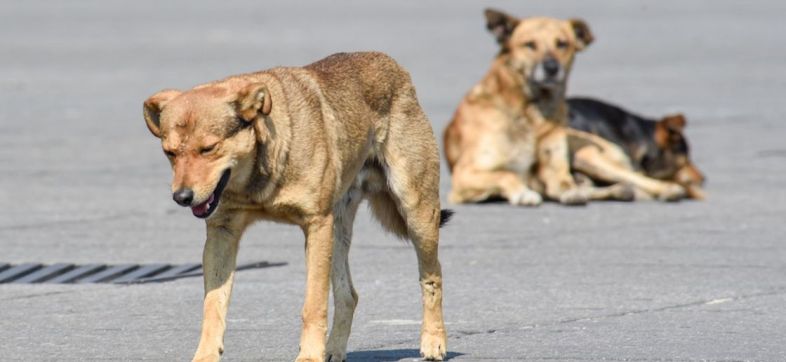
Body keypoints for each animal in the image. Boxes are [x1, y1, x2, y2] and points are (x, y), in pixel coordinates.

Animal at [141, 51, 448, 362]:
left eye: (208, 148)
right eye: (170, 153)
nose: (181, 197)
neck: (258, 176)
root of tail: (392, 64)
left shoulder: (316, 224)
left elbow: (313, 305)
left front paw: (309, 355)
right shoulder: (222, 234)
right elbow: (213, 306)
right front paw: (205, 355)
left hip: (416, 213)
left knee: (432, 277)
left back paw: (434, 341)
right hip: (337, 232)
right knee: (348, 295)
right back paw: (334, 350)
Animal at [440, 9, 600, 206]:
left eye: (562, 44)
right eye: (530, 44)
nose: (551, 67)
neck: (531, 113)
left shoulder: (553, 165)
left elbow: (563, 181)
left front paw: (572, 190)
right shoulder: (465, 173)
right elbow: (505, 174)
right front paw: (523, 192)